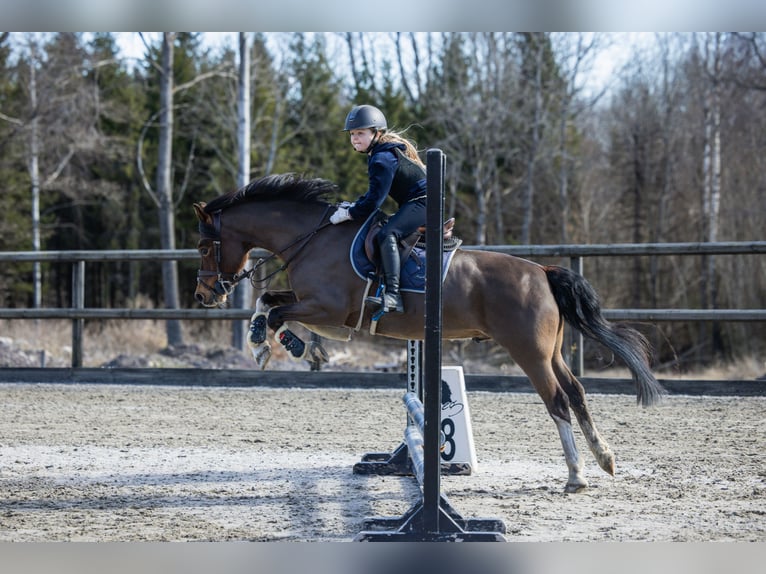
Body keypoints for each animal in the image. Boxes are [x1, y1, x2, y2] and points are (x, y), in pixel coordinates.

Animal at [193, 173, 665, 493]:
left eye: (203, 246)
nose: (203, 294)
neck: (311, 237)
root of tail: (542, 272)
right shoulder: (315, 304)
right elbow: (267, 301)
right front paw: (284, 346)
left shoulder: (327, 307)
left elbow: (275, 310)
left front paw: (276, 346)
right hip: (551, 353)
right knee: (577, 393)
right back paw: (604, 459)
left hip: (529, 353)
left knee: (558, 402)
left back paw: (575, 476)